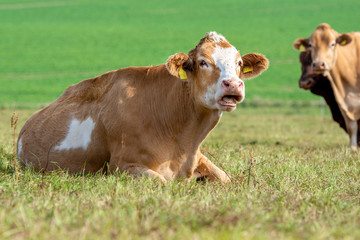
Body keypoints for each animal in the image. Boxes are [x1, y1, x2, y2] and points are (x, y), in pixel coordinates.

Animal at [17, 31, 270, 182]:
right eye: (203, 62)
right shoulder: (122, 166)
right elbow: (161, 182)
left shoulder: (198, 157)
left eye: (239, 63)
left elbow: (226, 179)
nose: (233, 84)